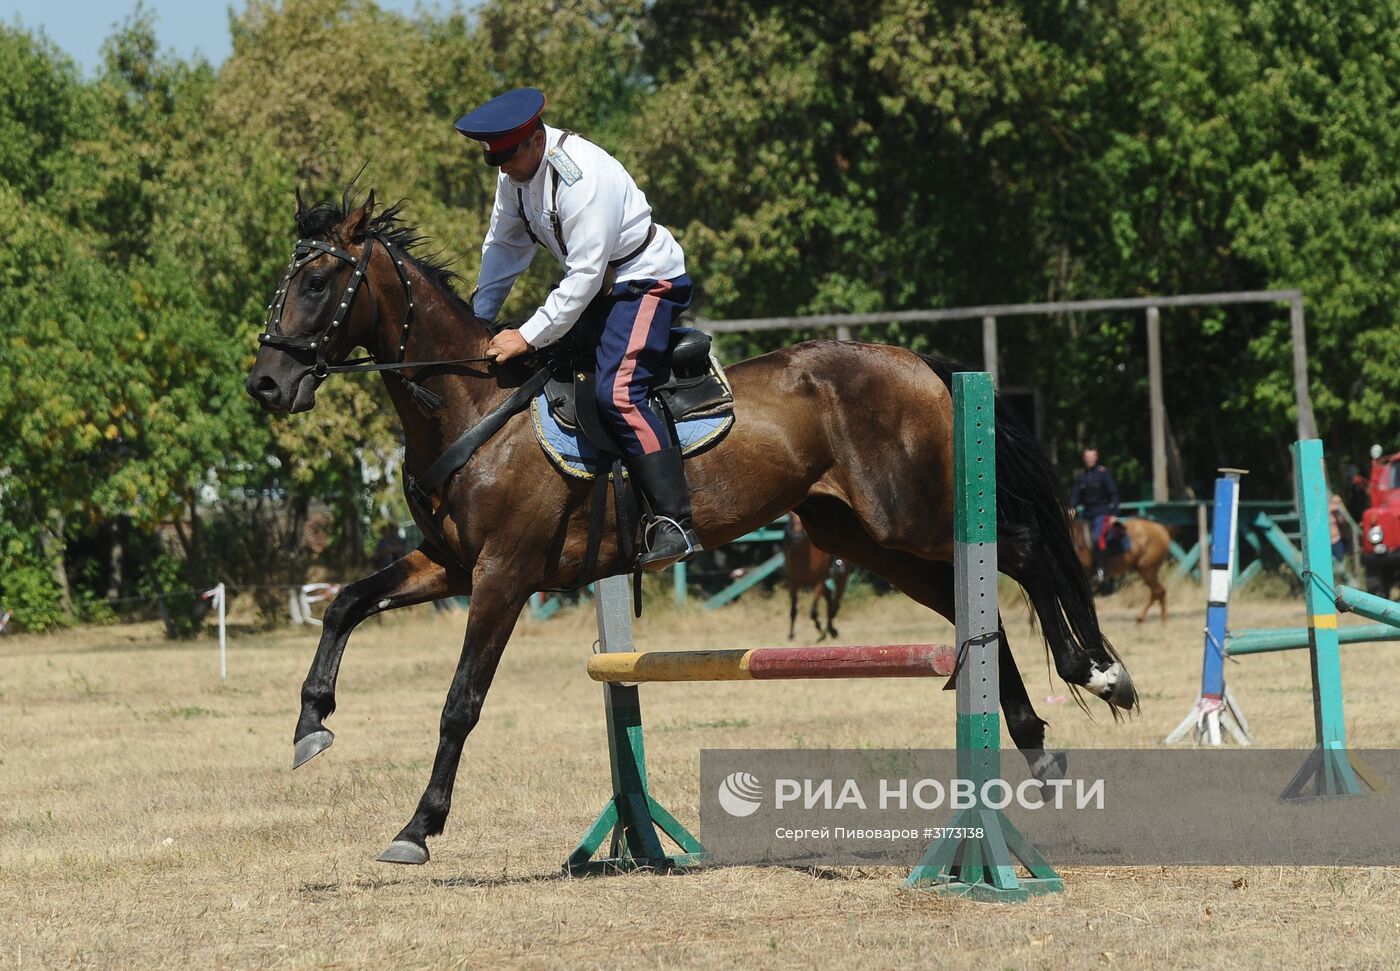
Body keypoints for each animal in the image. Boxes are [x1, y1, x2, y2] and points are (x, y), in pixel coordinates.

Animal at [784, 514, 845, 643]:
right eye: (790, 517)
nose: (796, 537)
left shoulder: (819, 582)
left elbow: (813, 612)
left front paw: (819, 628)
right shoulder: (793, 582)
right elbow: (793, 610)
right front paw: (791, 635)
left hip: (841, 578)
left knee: (835, 602)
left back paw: (830, 630)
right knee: (829, 600)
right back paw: (831, 630)